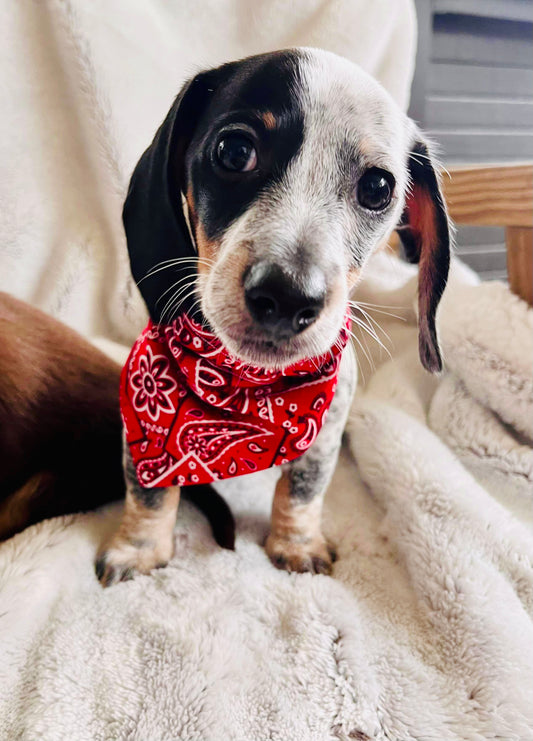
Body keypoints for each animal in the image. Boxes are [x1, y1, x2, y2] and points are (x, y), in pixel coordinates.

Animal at [95, 49, 448, 588]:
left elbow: (303, 489)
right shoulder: (143, 429)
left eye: (378, 187)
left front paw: (296, 544)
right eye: (234, 151)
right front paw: (138, 549)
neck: (246, 387)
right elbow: (150, 491)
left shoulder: (324, 432)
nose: (286, 296)